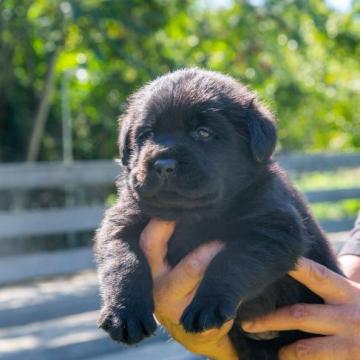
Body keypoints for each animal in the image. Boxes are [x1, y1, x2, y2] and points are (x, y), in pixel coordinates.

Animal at [94, 69, 342, 358]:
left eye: (203, 132)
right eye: (147, 133)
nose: (163, 164)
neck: (193, 215)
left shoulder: (275, 229)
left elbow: (230, 261)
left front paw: (207, 304)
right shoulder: (120, 221)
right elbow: (123, 262)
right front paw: (124, 313)